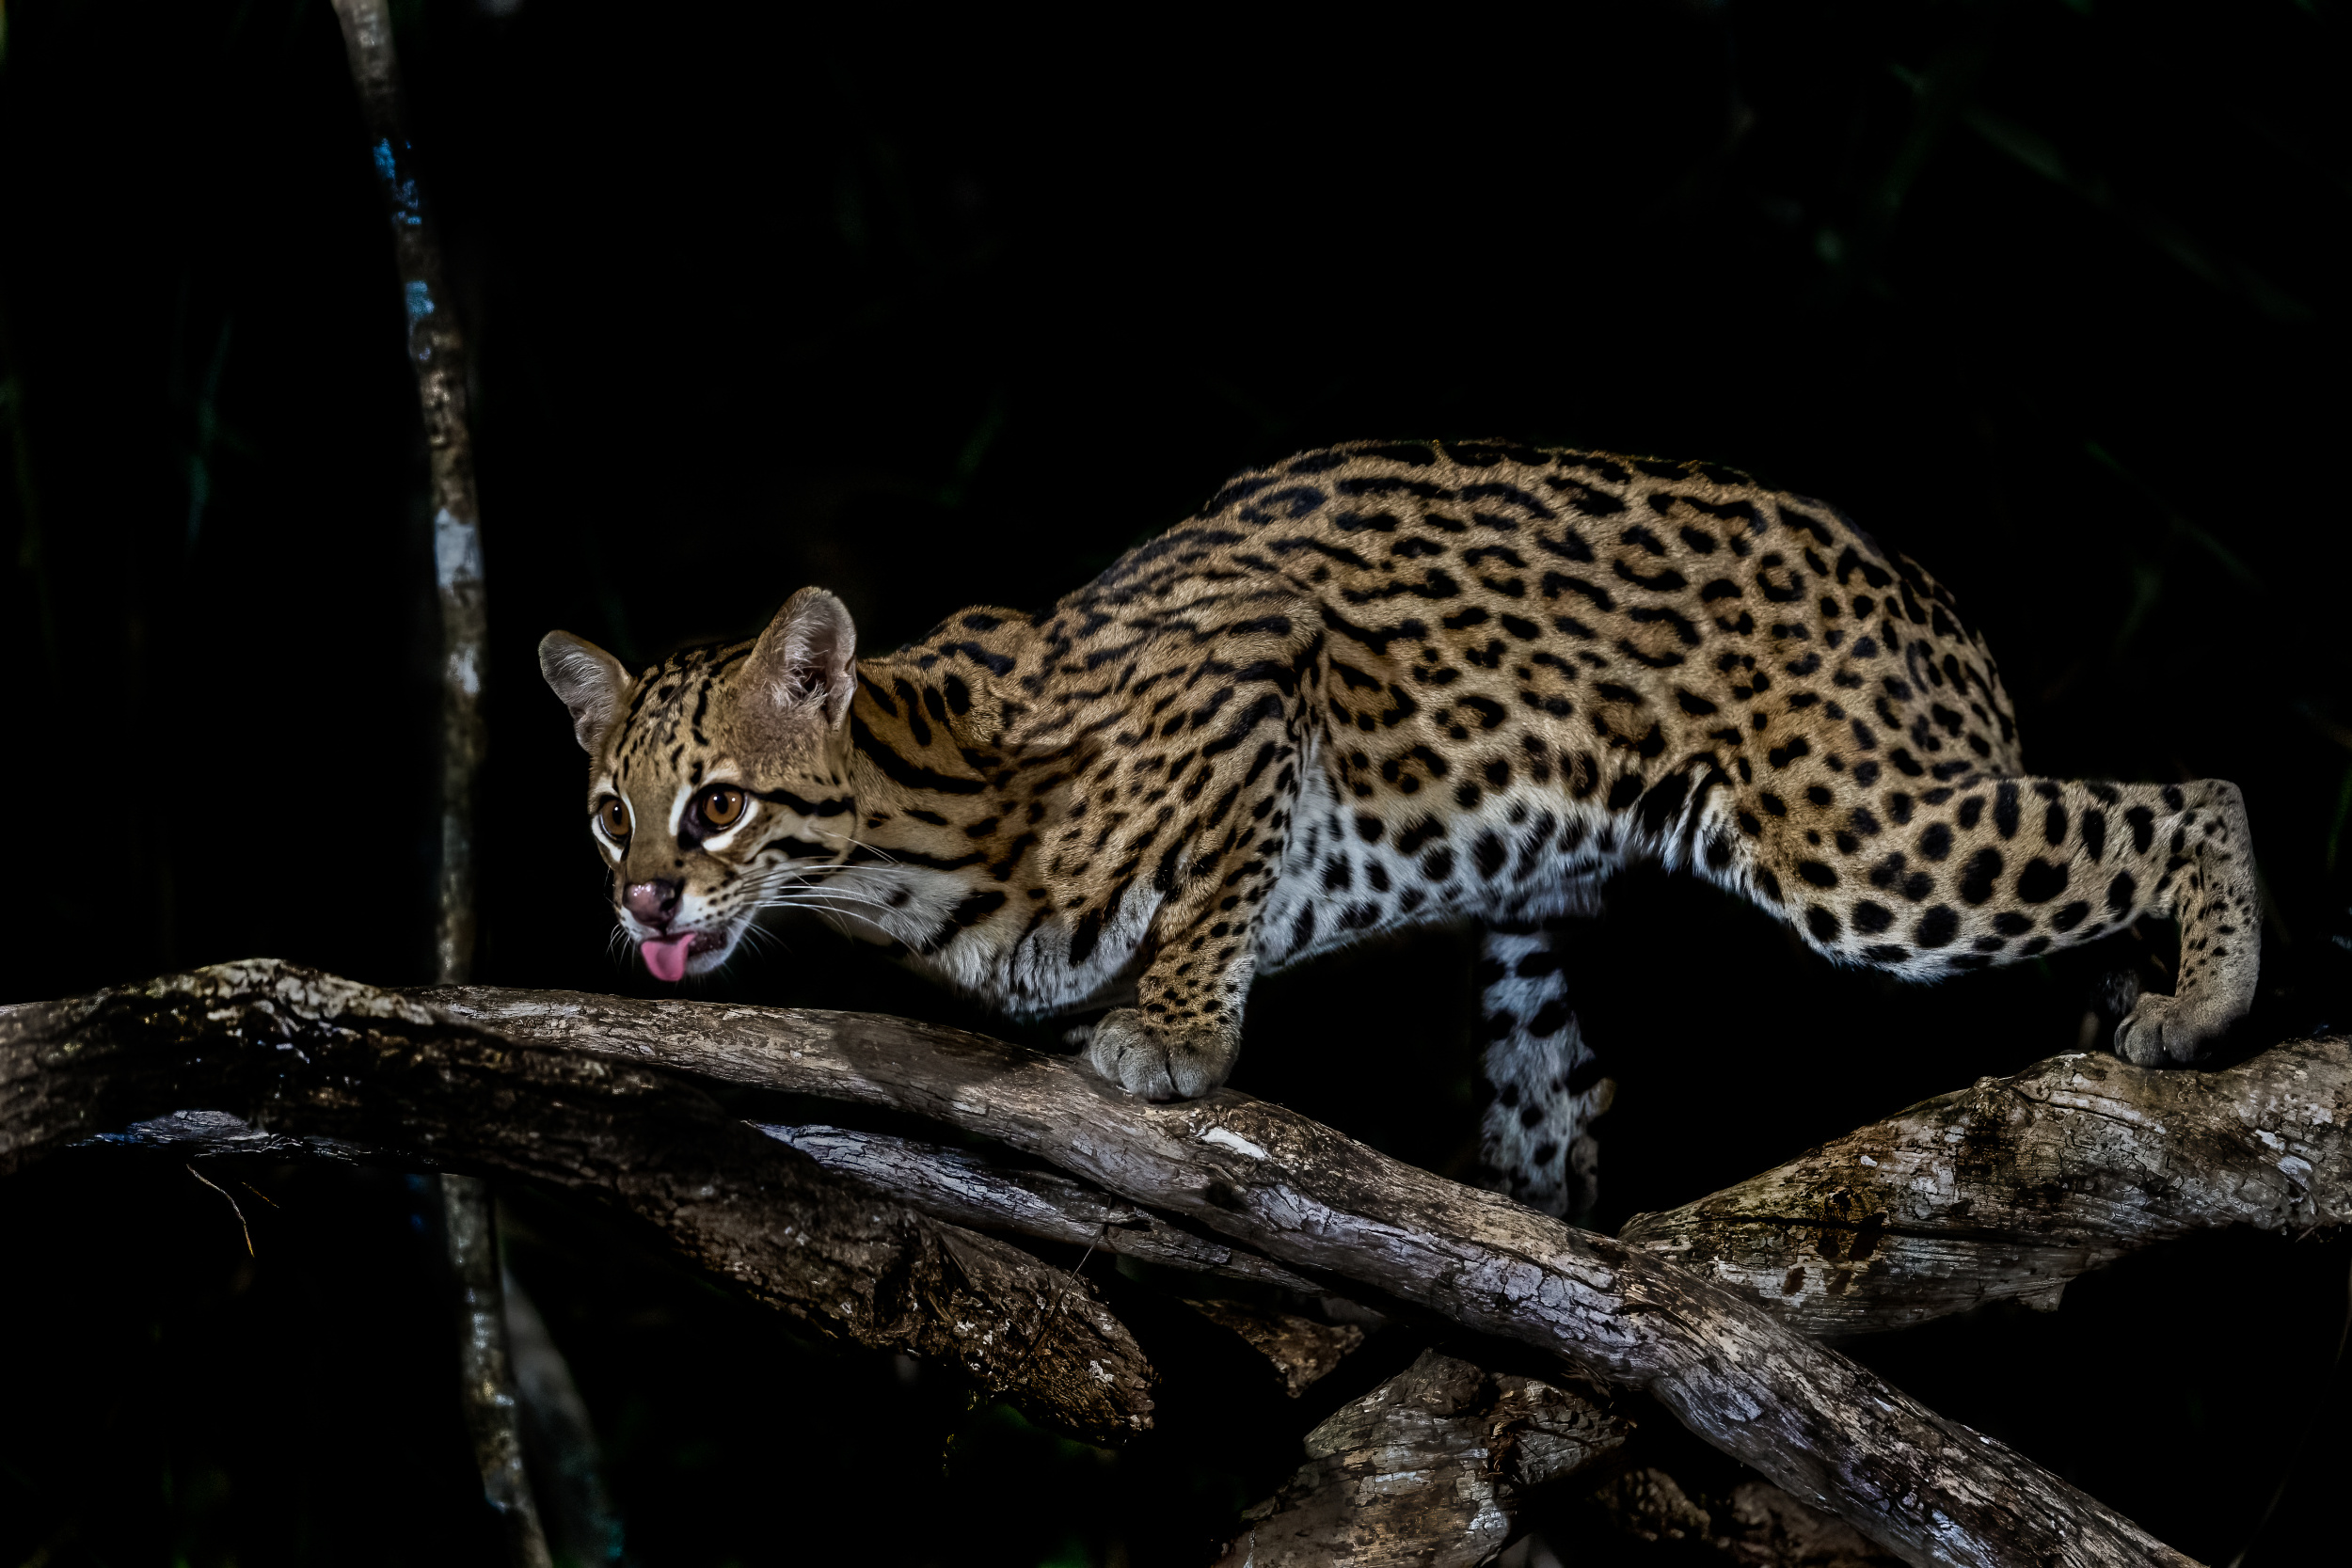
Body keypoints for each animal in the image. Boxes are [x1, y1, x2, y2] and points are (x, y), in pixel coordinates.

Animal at [539, 438, 2259, 1217]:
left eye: (718, 805)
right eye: (611, 816)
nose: (643, 903)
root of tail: (1938, 607)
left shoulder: (1256, 666)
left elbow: (1214, 889)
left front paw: (1174, 1032)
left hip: (1862, 840)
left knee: (2201, 796)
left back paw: (2204, 998)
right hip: (1541, 930)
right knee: (1556, 1108)